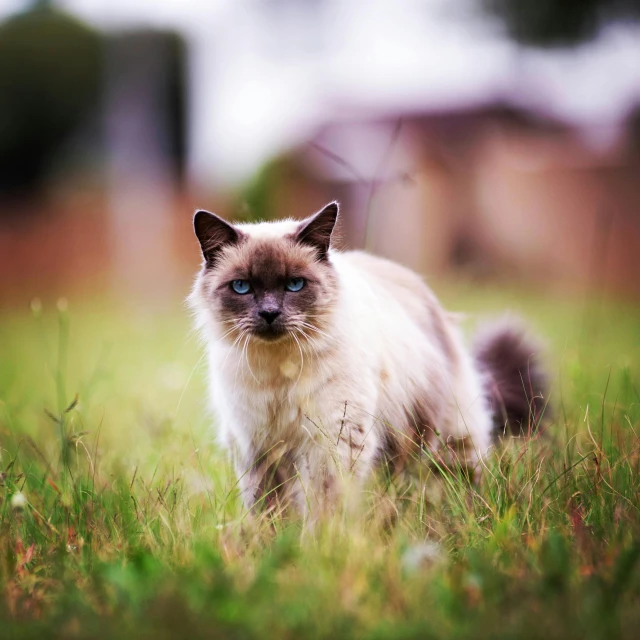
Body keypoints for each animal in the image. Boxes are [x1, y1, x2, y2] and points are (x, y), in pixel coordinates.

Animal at [188, 202, 548, 516]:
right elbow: (266, 512)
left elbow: (323, 508)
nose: (269, 313)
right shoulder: (258, 446)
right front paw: (271, 546)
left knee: (454, 482)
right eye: (241, 287)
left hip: (446, 437)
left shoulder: (334, 439)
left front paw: (316, 546)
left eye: (294, 284)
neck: (280, 369)